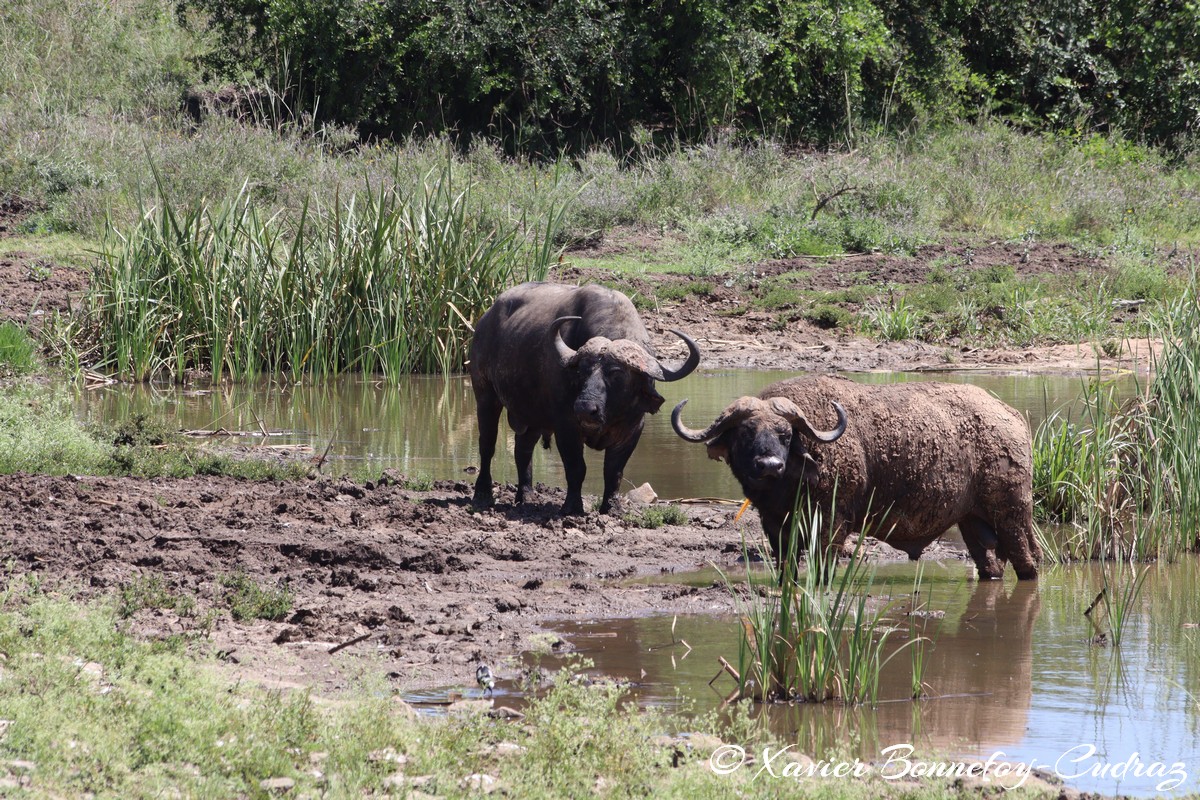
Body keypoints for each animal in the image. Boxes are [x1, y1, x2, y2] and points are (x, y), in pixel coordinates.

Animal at [463, 284, 700, 515]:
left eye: (617, 373)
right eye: (582, 371)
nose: (585, 408)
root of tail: (486, 319)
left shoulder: (632, 428)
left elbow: (614, 471)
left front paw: (612, 508)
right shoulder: (566, 426)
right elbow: (576, 468)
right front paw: (572, 507)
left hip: (532, 416)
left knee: (523, 450)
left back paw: (527, 496)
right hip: (485, 395)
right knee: (487, 445)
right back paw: (483, 494)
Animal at [676, 379, 1041, 578]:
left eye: (785, 434)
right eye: (746, 433)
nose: (769, 464)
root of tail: (1011, 417)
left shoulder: (831, 523)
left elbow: (823, 565)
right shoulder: (775, 524)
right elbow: (786, 566)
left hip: (1013, 514)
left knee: (1030, 560)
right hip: (973, 521)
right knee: (991, 563)